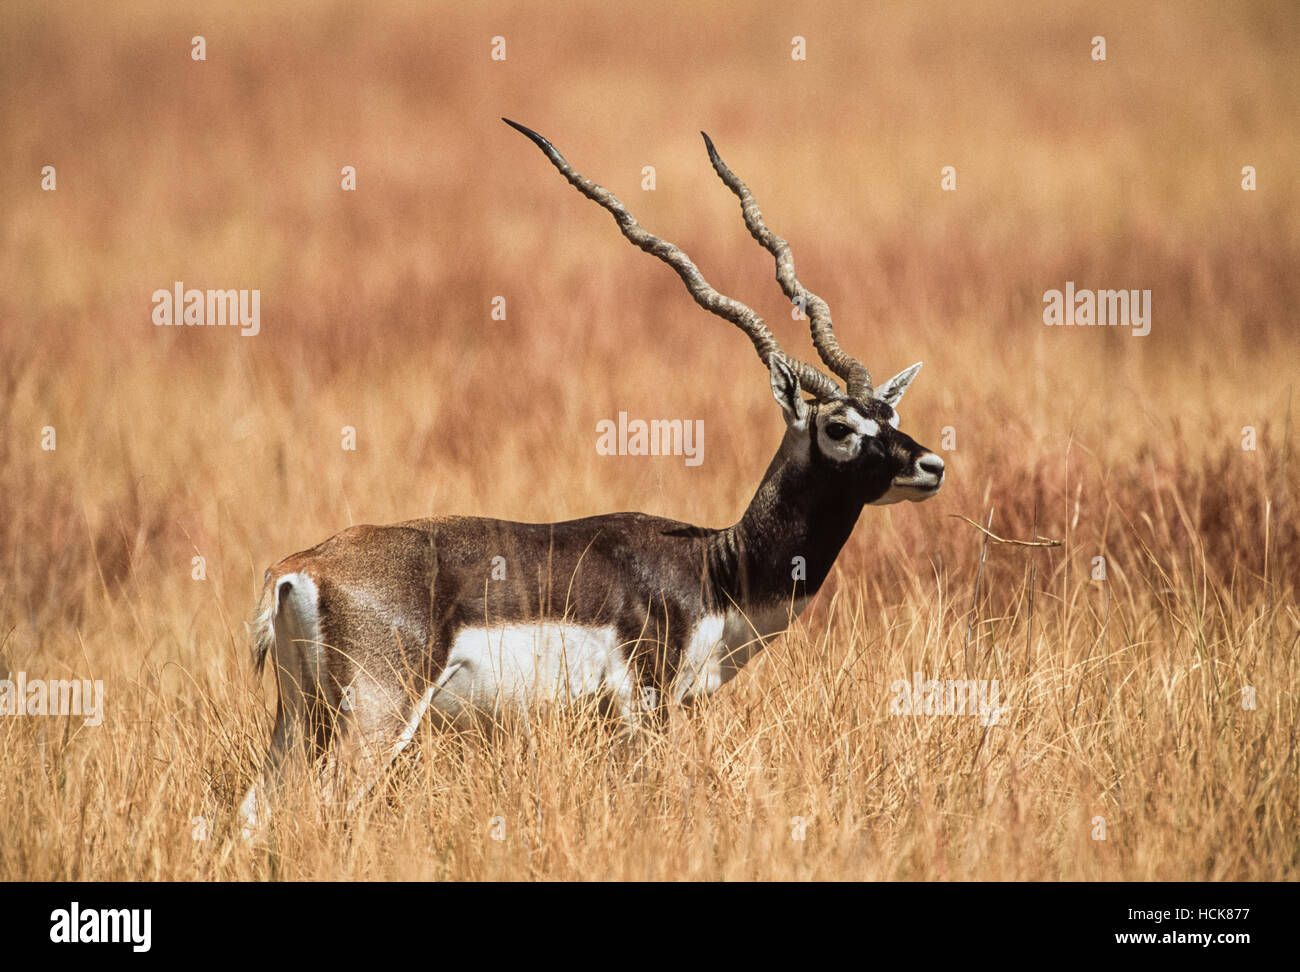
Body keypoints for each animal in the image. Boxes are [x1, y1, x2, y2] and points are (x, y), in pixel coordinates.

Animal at [236, 119, 946, 836]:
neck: (714, 569)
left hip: (299, 721)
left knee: (252, 813)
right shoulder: (641, 710)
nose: (931, 465)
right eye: (839, 427)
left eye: (890, 414)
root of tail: (303, 566)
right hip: (376, 719)